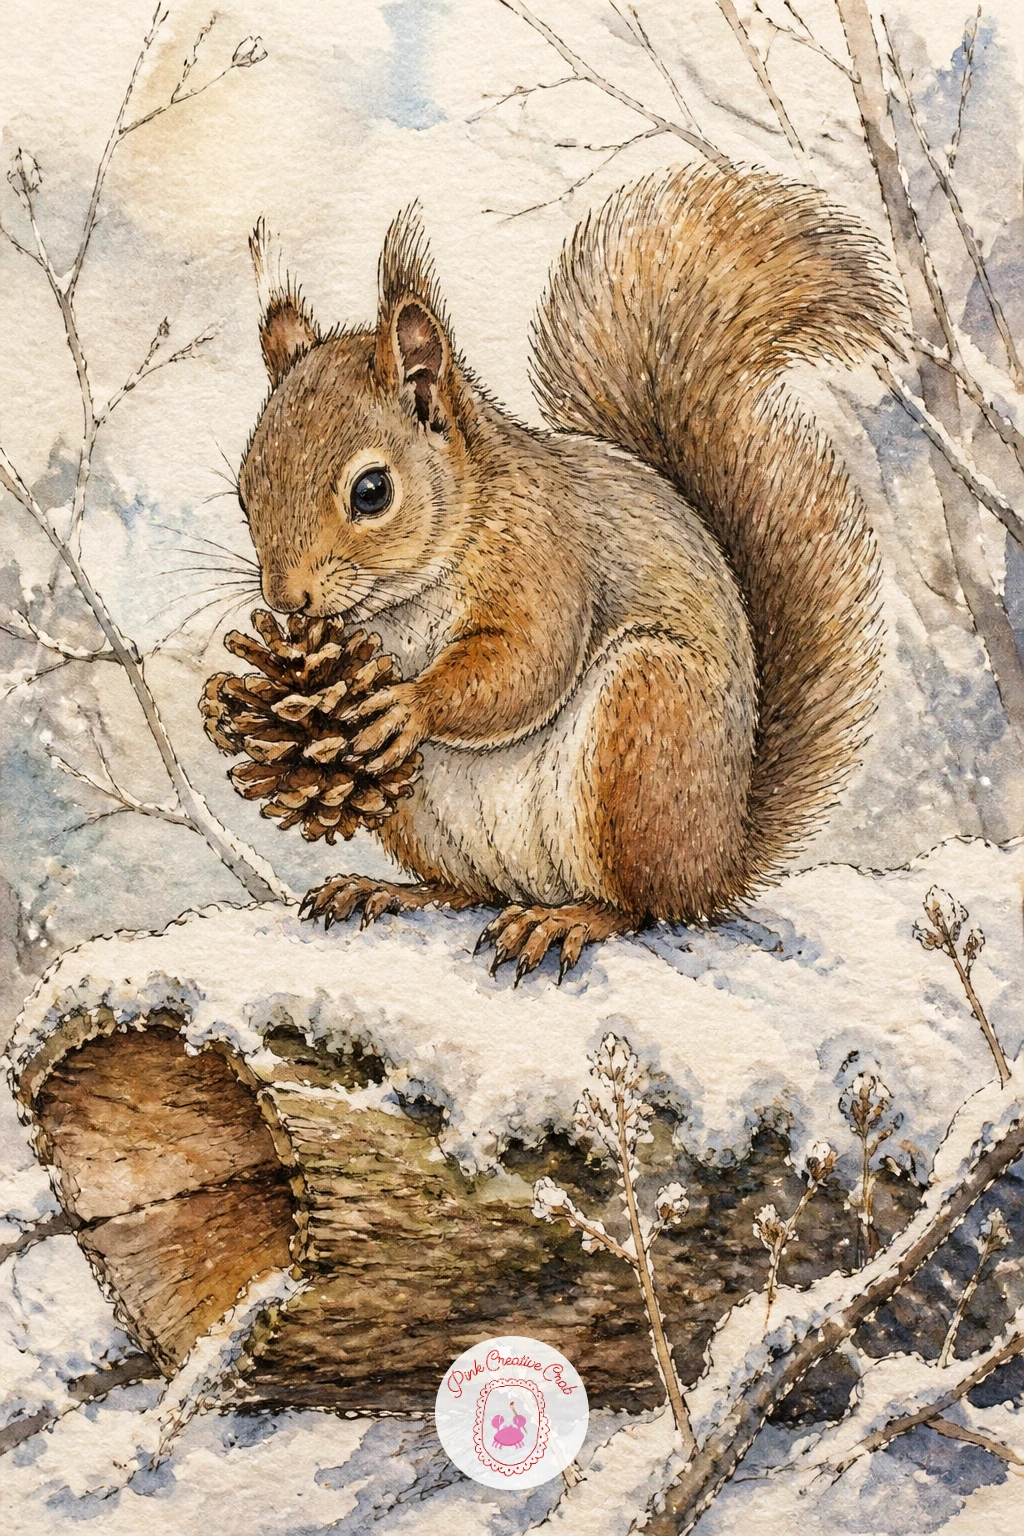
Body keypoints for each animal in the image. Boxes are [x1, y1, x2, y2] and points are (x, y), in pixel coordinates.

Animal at [238, 163, 901, 980]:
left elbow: (528, 661)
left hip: (643, 730)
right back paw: (388, 891)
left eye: (371, 491)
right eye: (245, 486)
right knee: (467, 890)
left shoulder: (547, 558)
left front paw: (405, 706)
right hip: (418, 812)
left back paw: (565, 921)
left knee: (640, 904)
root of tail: (719, 864)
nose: (287, 600)